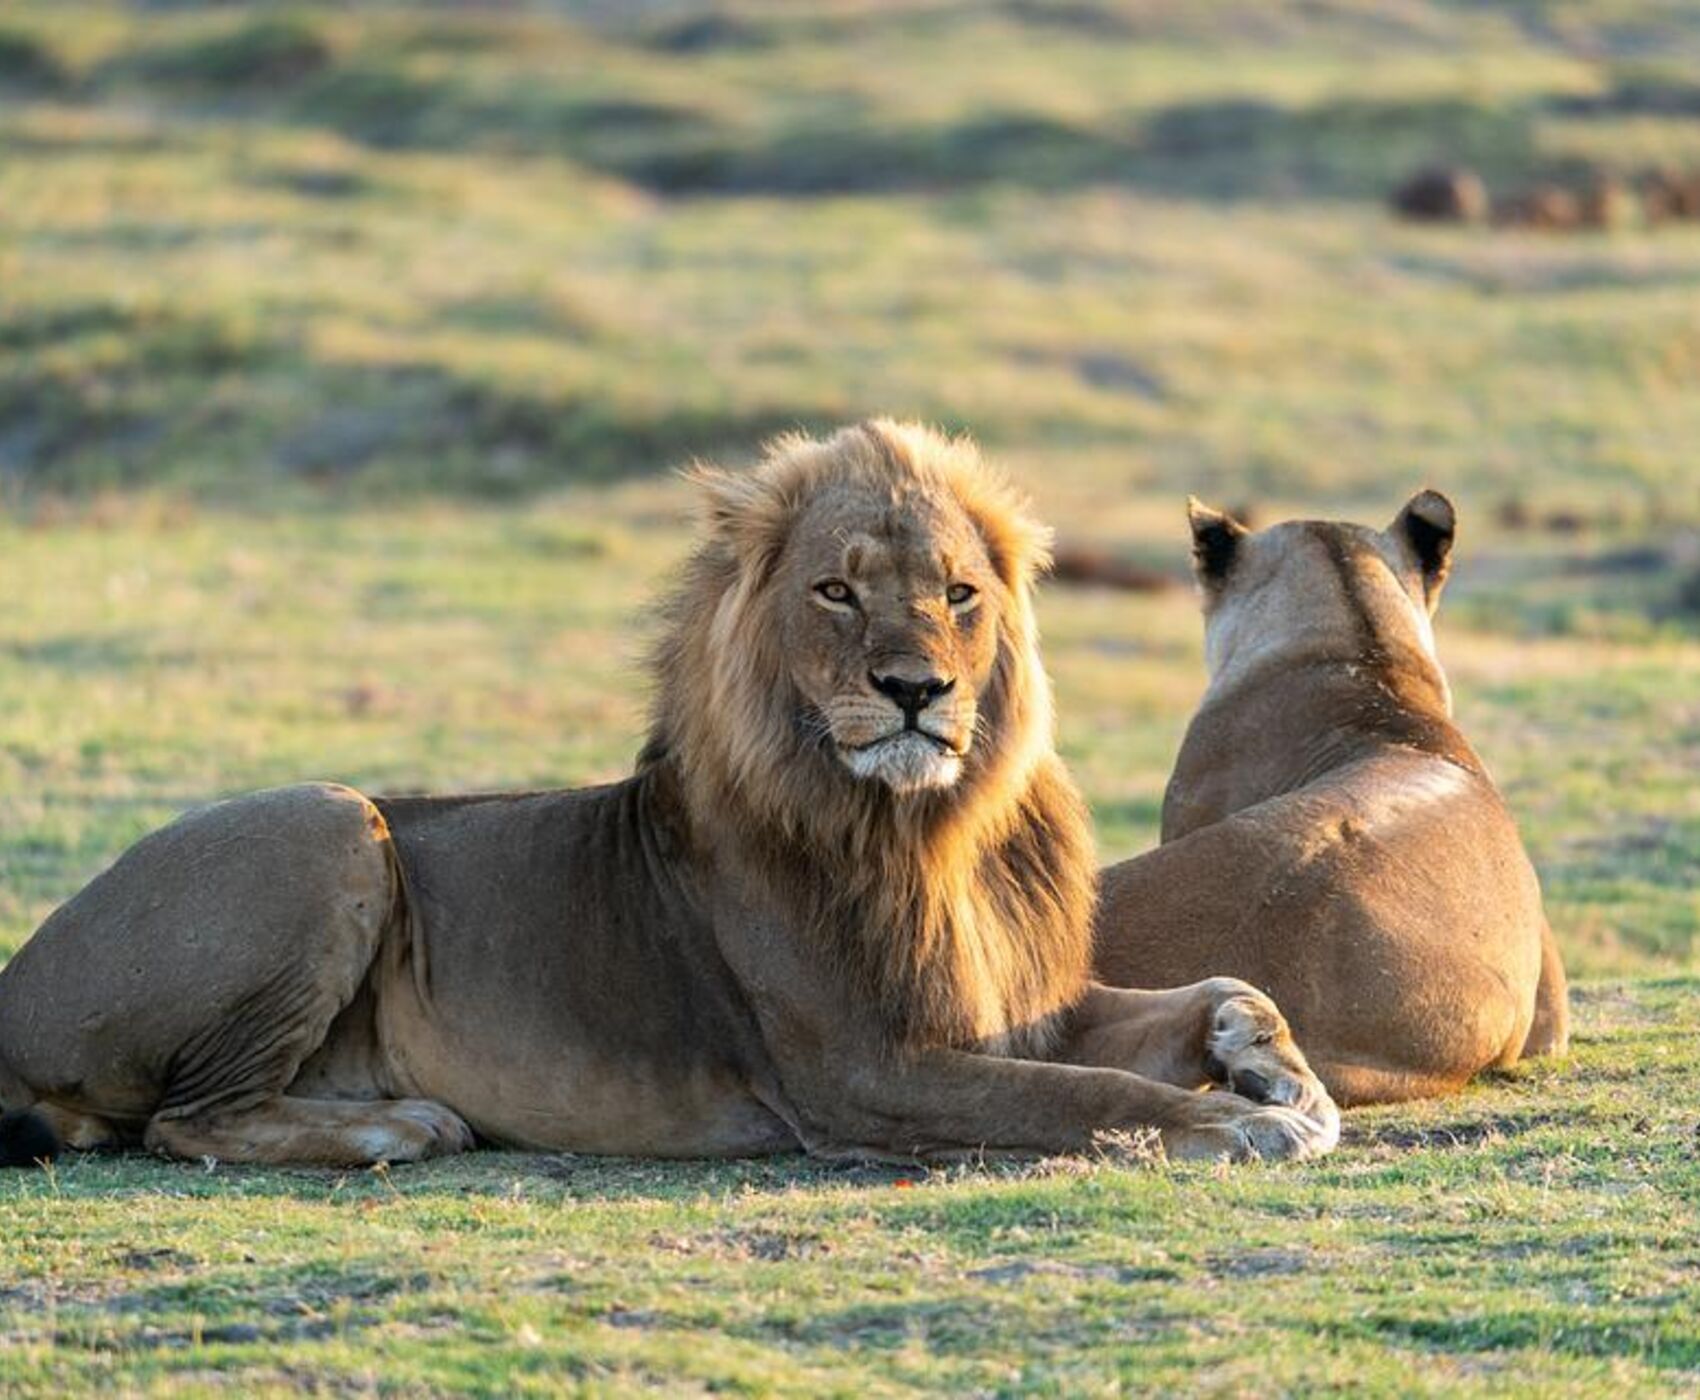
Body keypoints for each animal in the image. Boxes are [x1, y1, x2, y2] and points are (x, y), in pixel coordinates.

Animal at [3, 421, 1339, 1162]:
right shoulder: (865, 1073)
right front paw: (1235, 1121)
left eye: (958, 592)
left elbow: (1215, 989)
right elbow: (1085, 1095)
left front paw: (1279, 1070)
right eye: (836, 590)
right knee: (186, 1119)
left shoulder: (1018, 1010)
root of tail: (21, 979)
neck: (930, 827)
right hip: (330, 821)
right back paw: (401, 1123)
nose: (915, 688)